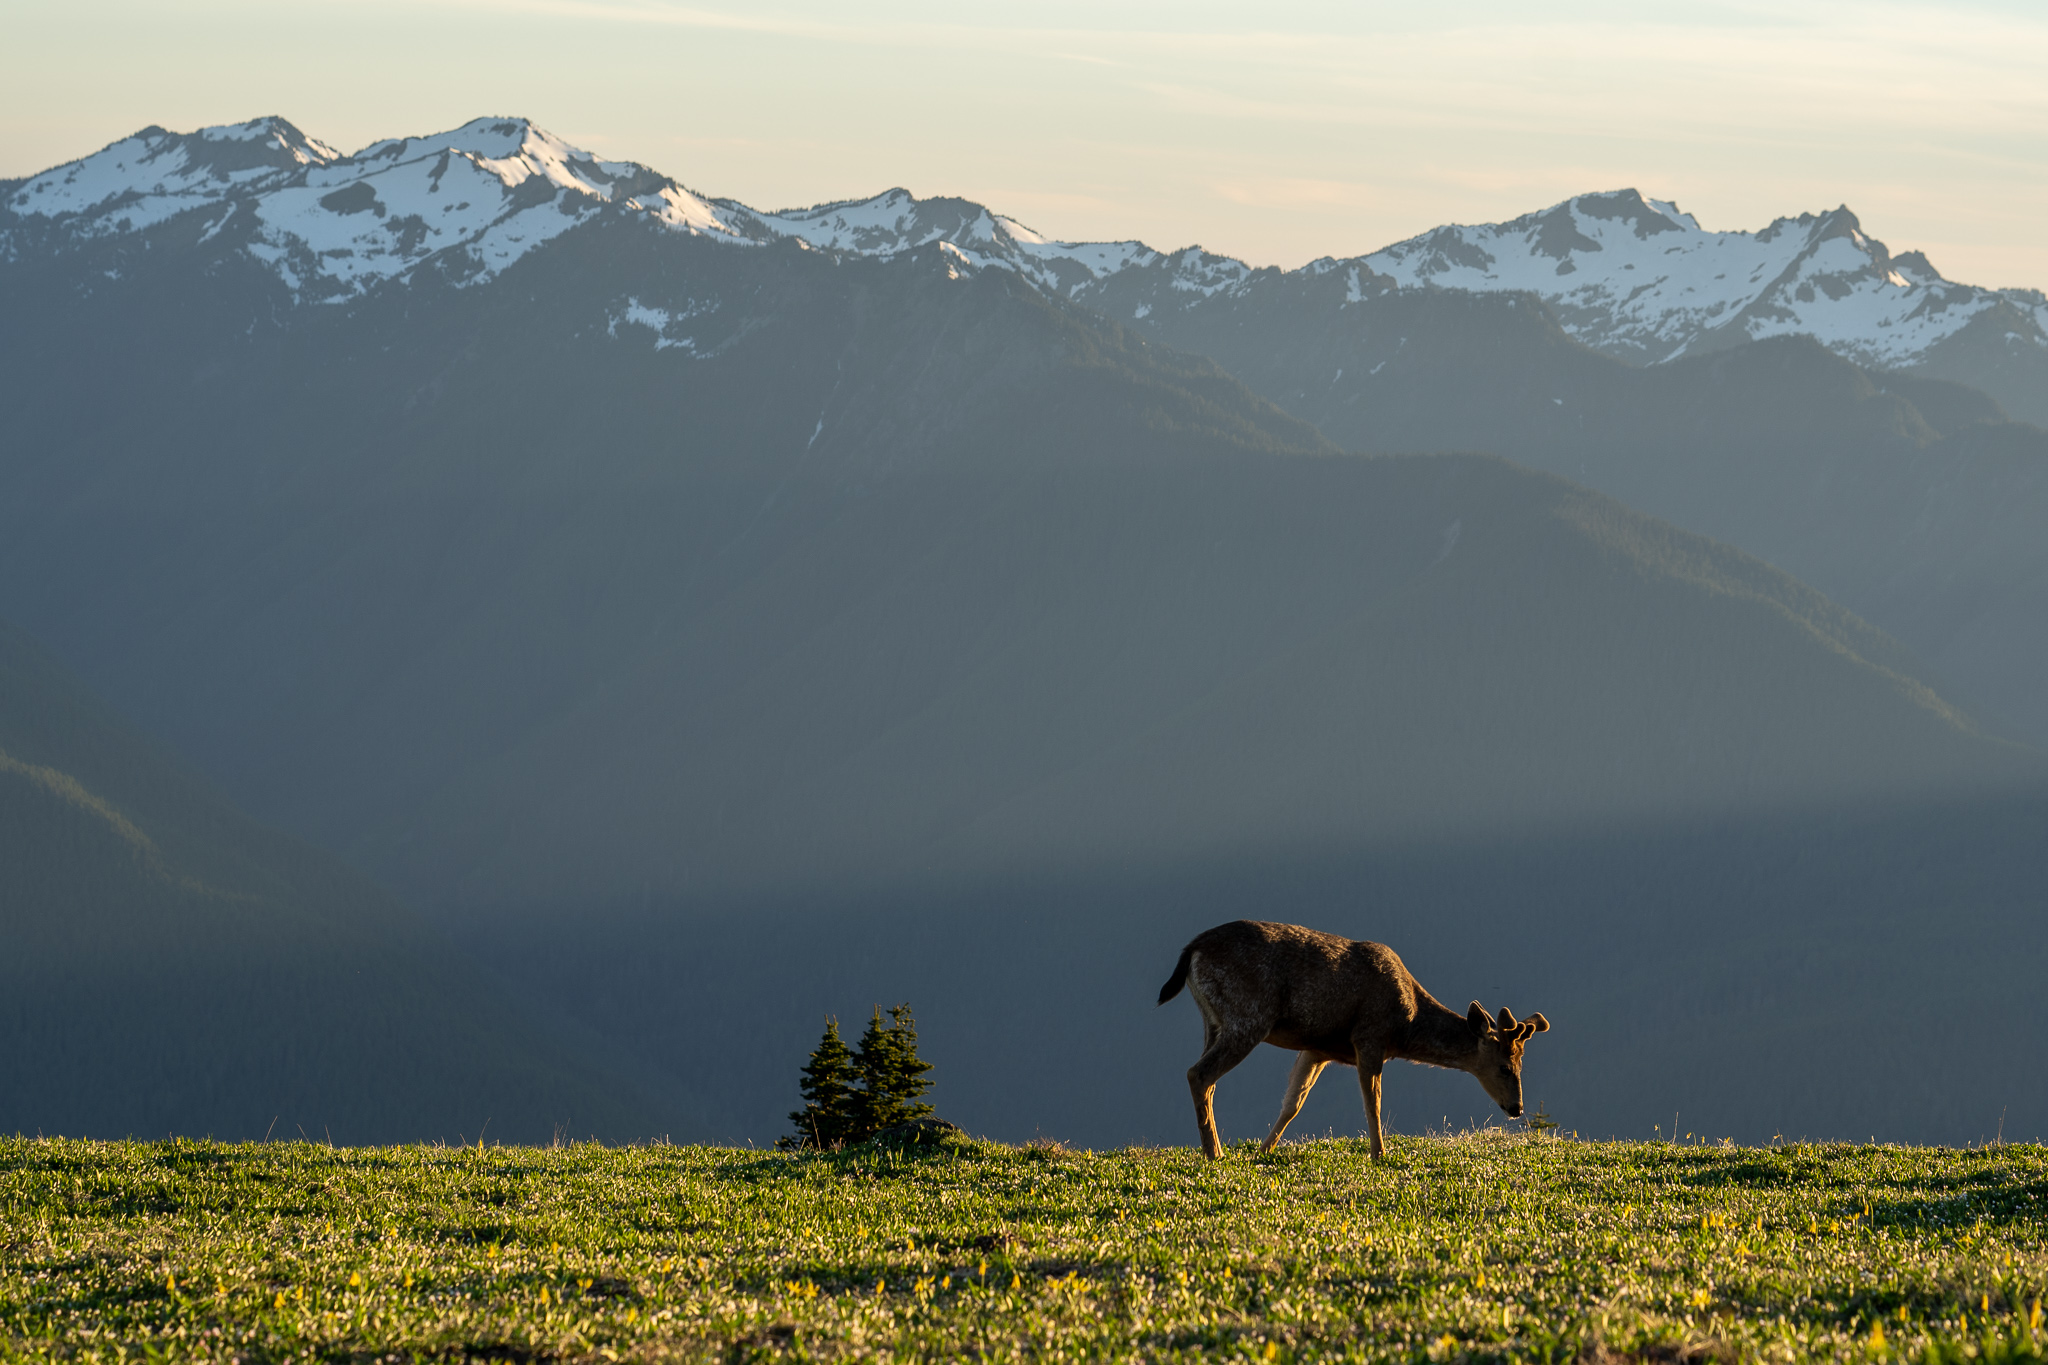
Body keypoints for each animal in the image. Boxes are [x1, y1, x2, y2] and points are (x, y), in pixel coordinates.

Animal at [1155, 925, 1548, 1162]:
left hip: (1213, 1022)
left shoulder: (1317, 1048)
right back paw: (1214, 1153)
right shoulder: (1369, 1036)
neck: (1406, 1026)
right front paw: (1379, 1155)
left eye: (1522, 1066)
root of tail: (1192, 949)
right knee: (1198, 1074)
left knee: (1204, 1076)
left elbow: (1292, 1103)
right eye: (1504, 1067)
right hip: (1247, 1017)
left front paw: (1264, 1152)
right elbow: (1373, 1102)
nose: (1517, 1108)